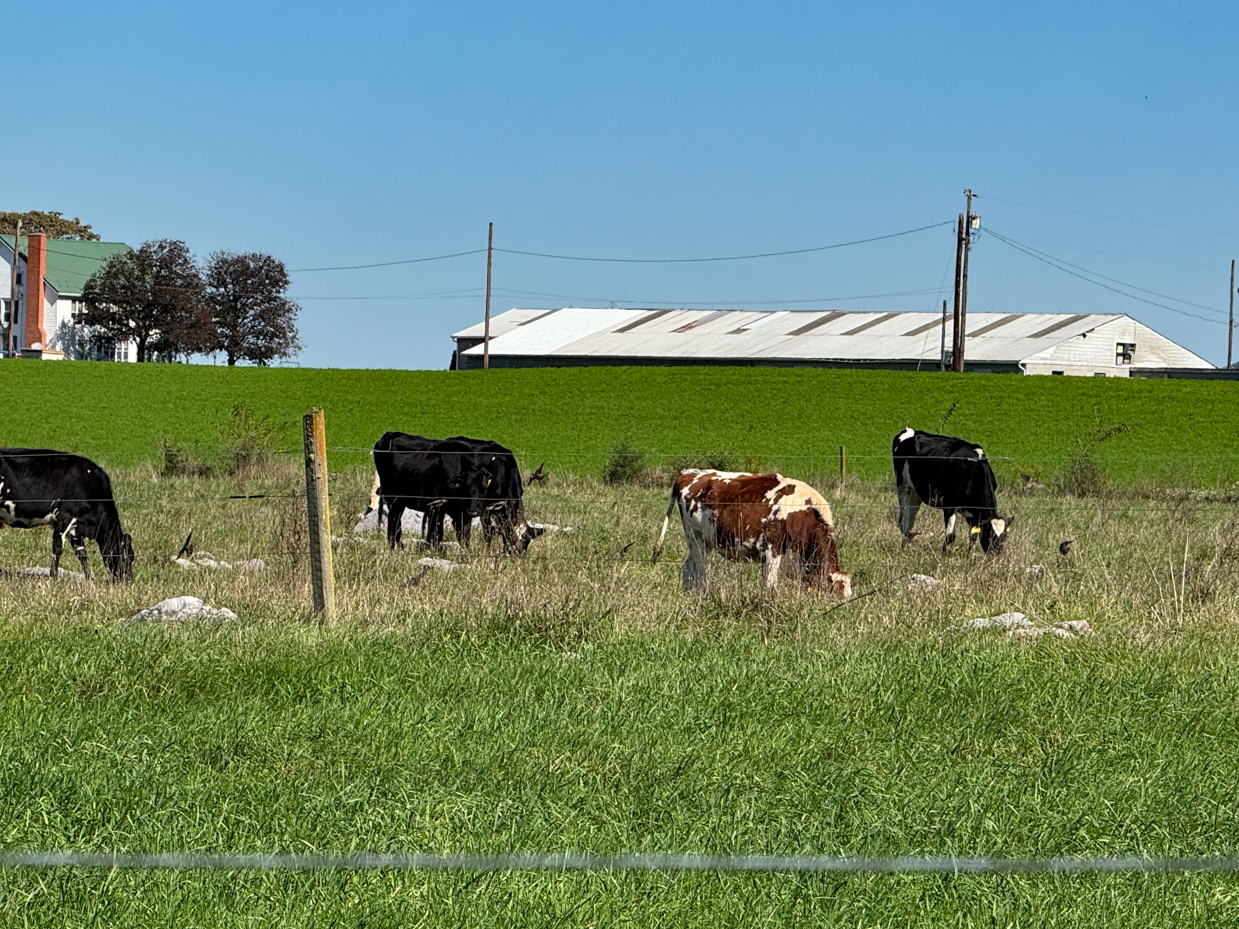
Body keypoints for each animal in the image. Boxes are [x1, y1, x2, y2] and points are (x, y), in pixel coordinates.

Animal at [0, 450, 134, 582]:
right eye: (128, 558)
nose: (128, 581)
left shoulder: (76, 526)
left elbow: (81, 553)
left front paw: (89, 579)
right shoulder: (65, 516)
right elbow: (58, 547)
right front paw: (54, 576)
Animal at [654, 468, 847, 599]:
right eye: (835, 594)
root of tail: (688, 473)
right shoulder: (773, 550)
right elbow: (770, 585)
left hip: (697, 541)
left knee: (688, 568)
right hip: (697, 539)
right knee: (701, 572)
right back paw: (704, 594)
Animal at [897, 426, 1011, 557]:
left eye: (1004, 537)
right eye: (989, 536)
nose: (995, 555)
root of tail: (910, 430)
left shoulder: (974, 512)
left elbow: (973, 535)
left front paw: (970, 556)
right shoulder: (948, 505)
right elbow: (950, 536)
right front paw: (943, 556)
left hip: (915, 493)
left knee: (910, 520)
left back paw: (907, 545)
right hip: (902, 487)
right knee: (903, 520)